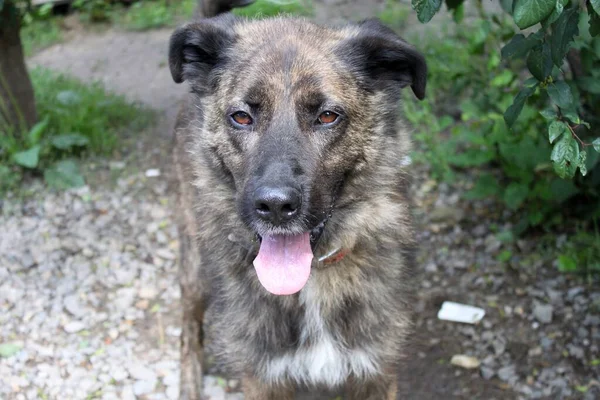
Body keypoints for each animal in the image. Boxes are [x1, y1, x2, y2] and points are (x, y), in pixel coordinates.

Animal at [168, 4, 426, 398]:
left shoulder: (376, 371)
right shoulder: (262, 377)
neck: (313, 279)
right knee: (189, 326)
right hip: (194, 265)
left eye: (327, 116)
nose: (275, 206)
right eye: (241, 117)